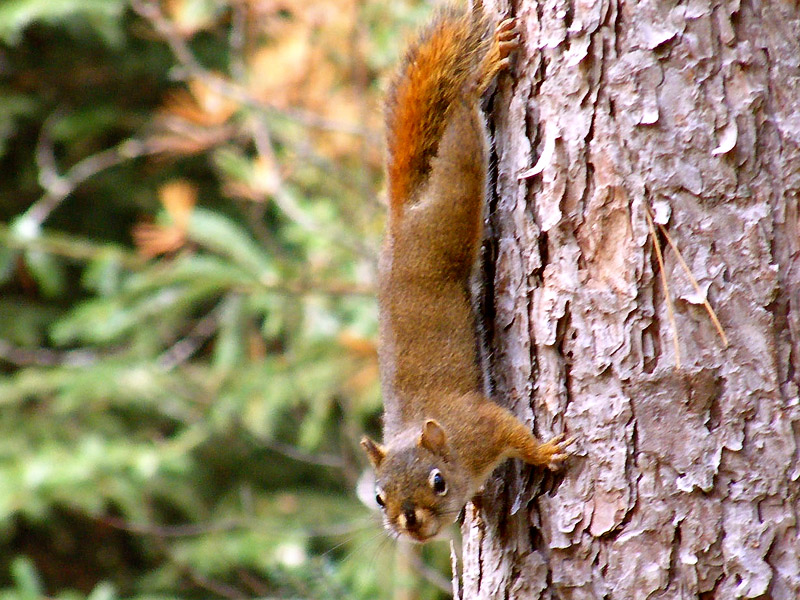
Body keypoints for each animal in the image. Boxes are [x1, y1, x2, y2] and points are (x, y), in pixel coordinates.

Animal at [360, 2, 572, 544]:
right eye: (378, 497)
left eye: (437, 481)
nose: (411, 525)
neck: (450, 447)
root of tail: (402, 219)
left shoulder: (480, 425)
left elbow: (514, 432)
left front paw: (544, 452)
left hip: (453, 203)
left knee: (459, 122)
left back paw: (481, 75)